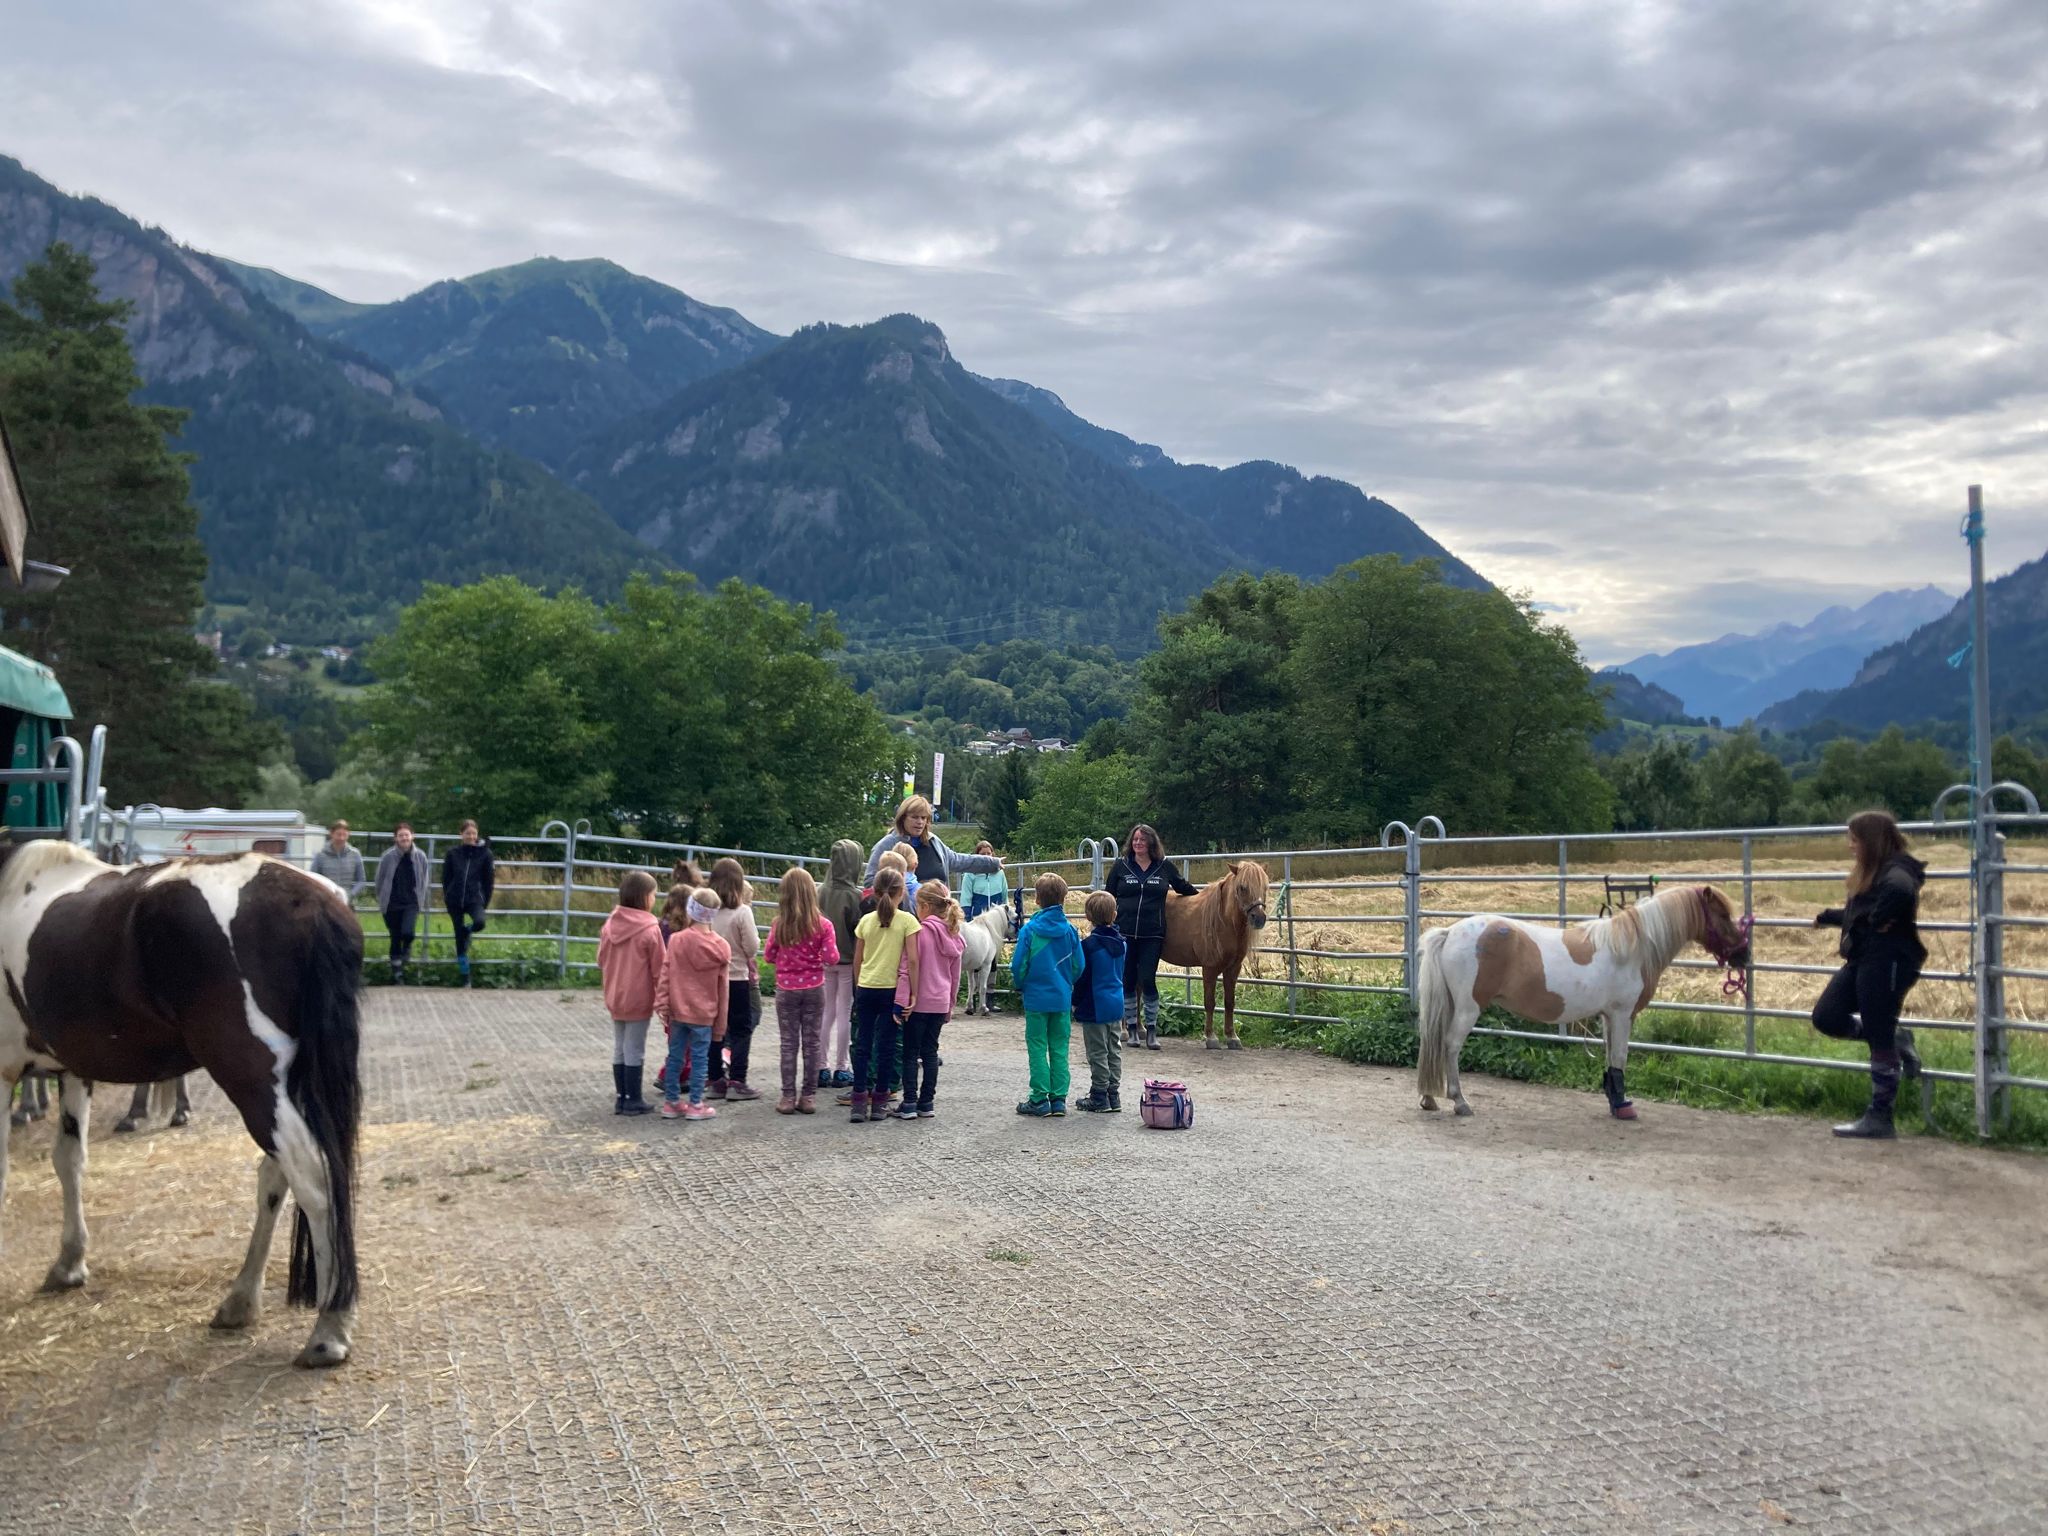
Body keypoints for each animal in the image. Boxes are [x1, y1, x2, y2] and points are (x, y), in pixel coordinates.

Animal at [0, 841, 364, 1367]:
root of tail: (312, 902)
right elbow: (69, 1160)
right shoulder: (73, 1071)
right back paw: (240, 1301)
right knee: (277, 1177)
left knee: (311, 1178)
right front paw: (69, 1264)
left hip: (252, 1077)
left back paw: (328, 1330)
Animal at [1161, 861, 1272, 1049]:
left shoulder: (1233, 969)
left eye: (1264, 886)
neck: (1223, 921)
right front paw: (1211, 1037)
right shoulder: (1209, 969)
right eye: (1242, 887)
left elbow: (1229, 1002)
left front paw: (1232, 1037)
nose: (1259, 918)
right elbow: (1210, 1002)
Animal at [1415, 883, 1752, 1121]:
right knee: (1450, 1045)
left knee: (1432, 1041)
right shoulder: (1622, 1015)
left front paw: (1614, 1101)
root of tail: (1449, 932)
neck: (1631, 950)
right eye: (1722, 914)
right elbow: (1620, 1058)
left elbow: (1609, 1059)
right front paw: (1624, 1108)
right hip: (1468, 1008)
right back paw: (1459, 1101)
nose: (1744, 955)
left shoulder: (1607, 1017)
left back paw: (1428, 1098)